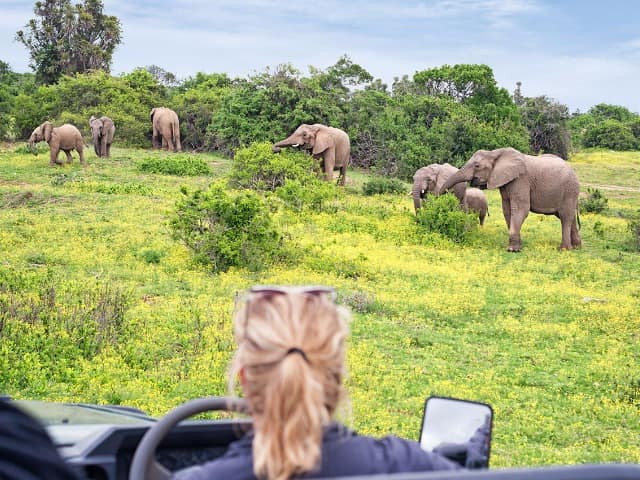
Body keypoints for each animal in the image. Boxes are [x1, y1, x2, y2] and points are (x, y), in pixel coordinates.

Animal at [440, 146, 580, 251]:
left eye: (477, 166)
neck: (495, 153)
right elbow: (507, 210)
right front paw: (518, 246)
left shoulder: (521, 179)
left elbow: (520, 209)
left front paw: (512, 250)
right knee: (569, 217)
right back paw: (577, 247)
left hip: (569, 191)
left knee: (565, 217)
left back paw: (564, 249)